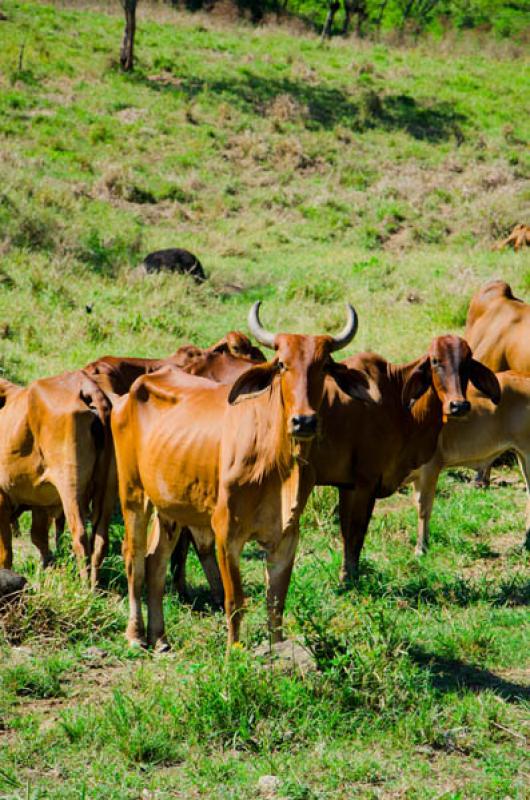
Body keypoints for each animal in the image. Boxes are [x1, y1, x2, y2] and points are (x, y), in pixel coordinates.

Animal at [0, 372, 112, 584]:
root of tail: (83, 385)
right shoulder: (40, 500)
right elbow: (38, 537)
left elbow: (6, 551)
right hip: (107, 487)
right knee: (100, 539)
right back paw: (95, 584)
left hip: (70, 485)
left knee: (80, 536)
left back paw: (84, 586)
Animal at [112, 304, 366, 648]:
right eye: (282, 364)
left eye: (325, 365)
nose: (304, 421)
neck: (277, 465)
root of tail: (132, 391)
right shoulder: (225, 531)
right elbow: (235, 601)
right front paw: (234, 651)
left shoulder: (286, 536)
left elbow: (276, 603)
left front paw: (276, 648)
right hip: (133, 494)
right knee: (134, 558)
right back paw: (136, 634)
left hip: (170, 506)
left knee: (155, 561)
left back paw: (161, 637)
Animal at [310, 336, 500, 580]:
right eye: (435, 361)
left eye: (467, 361)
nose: (459, 405)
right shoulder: (365, 481)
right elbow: (356, 531)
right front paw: (349, 576)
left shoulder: (348, 485)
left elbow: (347, 531)